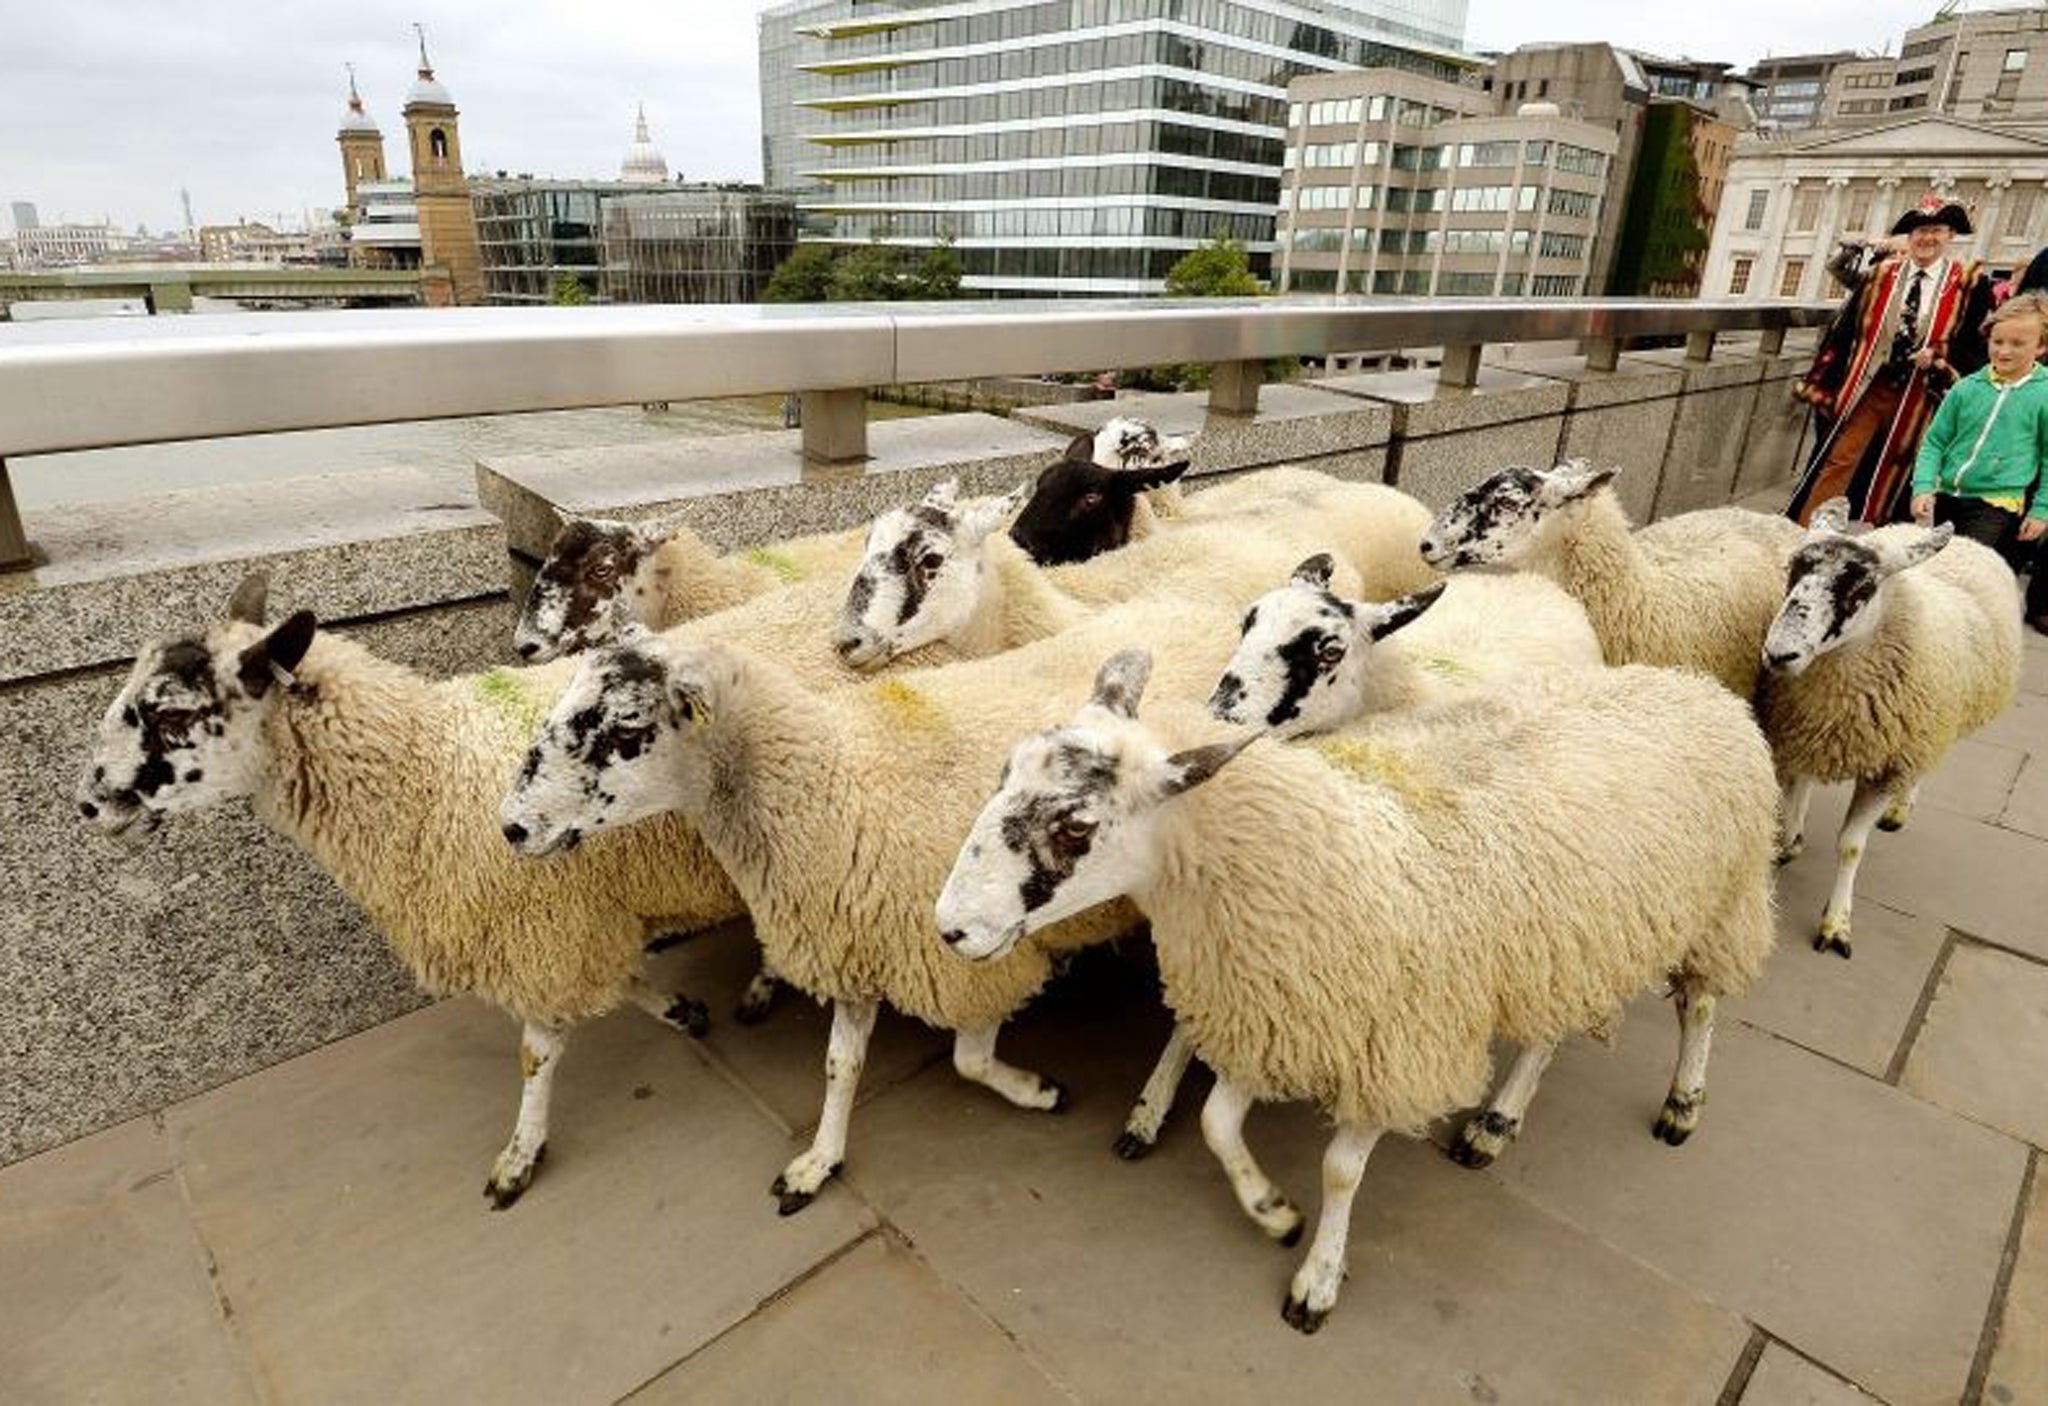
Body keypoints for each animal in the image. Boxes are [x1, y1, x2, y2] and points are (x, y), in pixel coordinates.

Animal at [83, 573, 753, 1211]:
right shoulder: (578, 922)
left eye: (172, 717)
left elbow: (535, 1056)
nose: (87, 805)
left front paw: (519, 1157)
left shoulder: (540, 931)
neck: (427, 773)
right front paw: (677, 1008)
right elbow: (626, 978)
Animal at [497, 589, 1261, 1211]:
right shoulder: (854, 936)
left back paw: (1150, 1110)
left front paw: (1036, 1089)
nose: (511, 827)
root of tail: (1198, 608)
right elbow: (841, 1066)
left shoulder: (963, 955)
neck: (829, 780)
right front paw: (819, 1161)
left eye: (625, 729)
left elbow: (968, 1061)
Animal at [933, 650, 1777, 1334]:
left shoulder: (1393, 1044)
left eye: (1075, 828)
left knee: (1701, 1007)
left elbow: (1341, 1169)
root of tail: (1698, 686)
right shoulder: (1270, 1007)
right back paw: (1496, 1123)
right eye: (1003, 777)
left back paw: (1682, 1104)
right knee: (1547, 1032)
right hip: (1571, 943)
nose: (950, 928)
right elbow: (1215, 1122)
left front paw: (1316, 1276)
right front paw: (1271, 1211)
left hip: (1722, 903)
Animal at [1753, 503, 2023, 957]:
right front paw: (1789, 840)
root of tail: (1967, 540)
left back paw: (1900, 809)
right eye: (1793, 568)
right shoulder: (1804, 733)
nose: (1779, 654)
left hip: (1937, 727)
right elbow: (1794, 799)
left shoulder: (1889, 765)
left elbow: (1851, 846)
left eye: (1863, 587)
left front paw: (1836, 924)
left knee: (1924, 768)